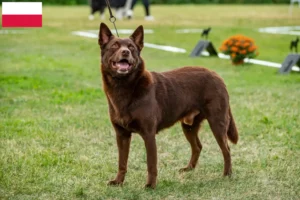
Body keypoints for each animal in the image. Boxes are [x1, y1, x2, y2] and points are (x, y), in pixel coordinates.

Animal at [99, 22, 239, 188]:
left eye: (131, 47)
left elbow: (151, 163)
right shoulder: (121, 135)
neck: (124, 87)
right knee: (198, 146)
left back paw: (227, 174)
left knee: (226, 149)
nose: (125, 52)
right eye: (114, 46)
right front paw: (118, 181)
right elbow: (122, 162)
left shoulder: (148, 134)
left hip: (217, 122)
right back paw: (189, 169)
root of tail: (216, 75)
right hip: (189, 126)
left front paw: (150, 185)